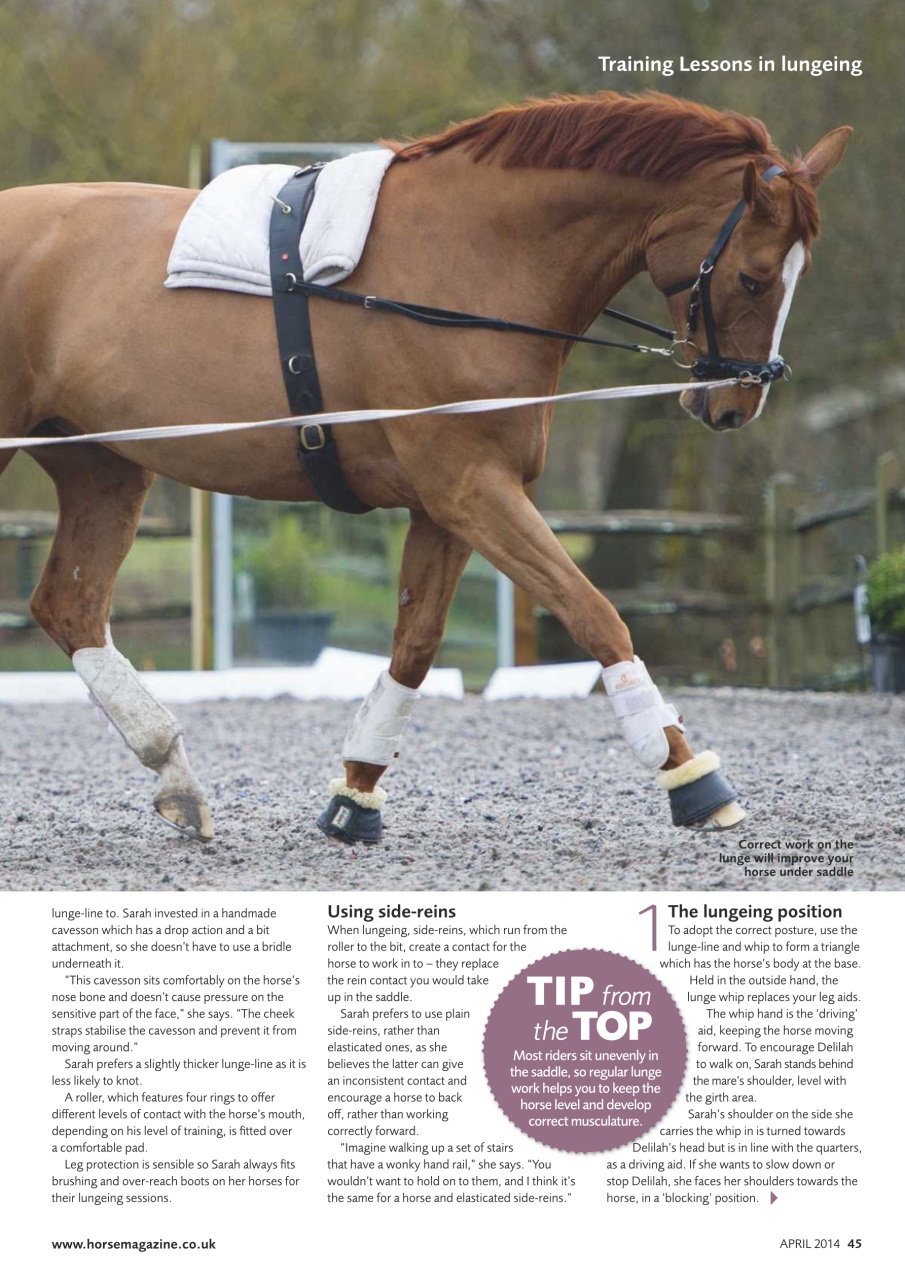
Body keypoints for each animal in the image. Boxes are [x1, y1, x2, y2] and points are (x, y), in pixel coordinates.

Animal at [0, 92, 850, 844]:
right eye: (752, 276)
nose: (735, 403)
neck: (475, 258)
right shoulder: (472, 488)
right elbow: (593, 614)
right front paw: (692, 780)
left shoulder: (445, 505)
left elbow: (414, 646)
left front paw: (354, 799)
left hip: (101, 467)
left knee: (68, 607)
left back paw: (176, 779)